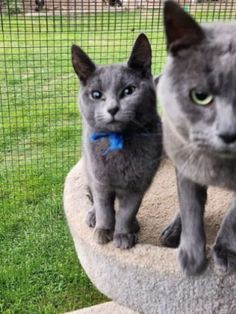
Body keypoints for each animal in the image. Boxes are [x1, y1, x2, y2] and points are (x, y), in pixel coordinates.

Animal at [72, 34, 162, 249]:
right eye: (96, 94)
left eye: (129, 91)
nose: (112, 109)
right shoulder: (101, 182)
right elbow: (104, 209)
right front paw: (103, 231)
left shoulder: (137, 187)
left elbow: (127, 212)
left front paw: (123, 234)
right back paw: (92, 217)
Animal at [159, 0, 236, 274]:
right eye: (200, 95)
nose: (229, 132)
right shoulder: (187, 163)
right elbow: (190, 205)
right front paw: (191, 255)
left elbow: (233, 216)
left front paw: (224, 252)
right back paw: (172, 231)